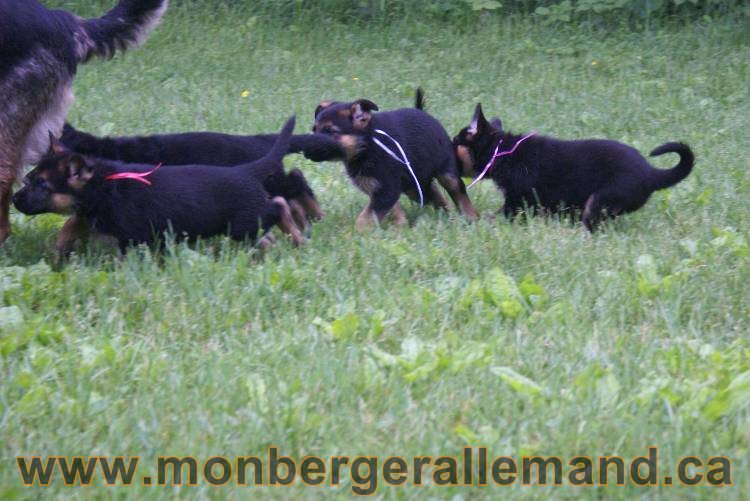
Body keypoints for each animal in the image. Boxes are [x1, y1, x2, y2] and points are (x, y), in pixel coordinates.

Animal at [13, 116, 306, 250]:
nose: (14, 199)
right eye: (28, 179)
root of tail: (248, 170)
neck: (103, 183)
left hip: (242, 224)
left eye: (41, 185)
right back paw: (297, 237)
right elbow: (71, 228)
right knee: (279, 206)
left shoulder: (133, 235)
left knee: (279, 204)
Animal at [312, 90, 478, 229]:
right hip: (414, 186)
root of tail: (423, 113)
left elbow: (365, 218)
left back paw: (472, 217)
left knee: (459, 192)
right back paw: (447, 217)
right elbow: (392, 210)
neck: (368, 144)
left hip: (447, 174)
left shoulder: (386, 190)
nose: (309, 150)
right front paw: (400, 227)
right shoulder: (378, 190)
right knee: (436, 196)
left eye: (331, 132)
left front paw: (356, 235)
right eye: (314, 130)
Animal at [456, 106, 696, 231]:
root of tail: (650, 172)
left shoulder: (518, 201)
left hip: (601, 199)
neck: (503, 150)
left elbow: (498, 215)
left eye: (455, 141)